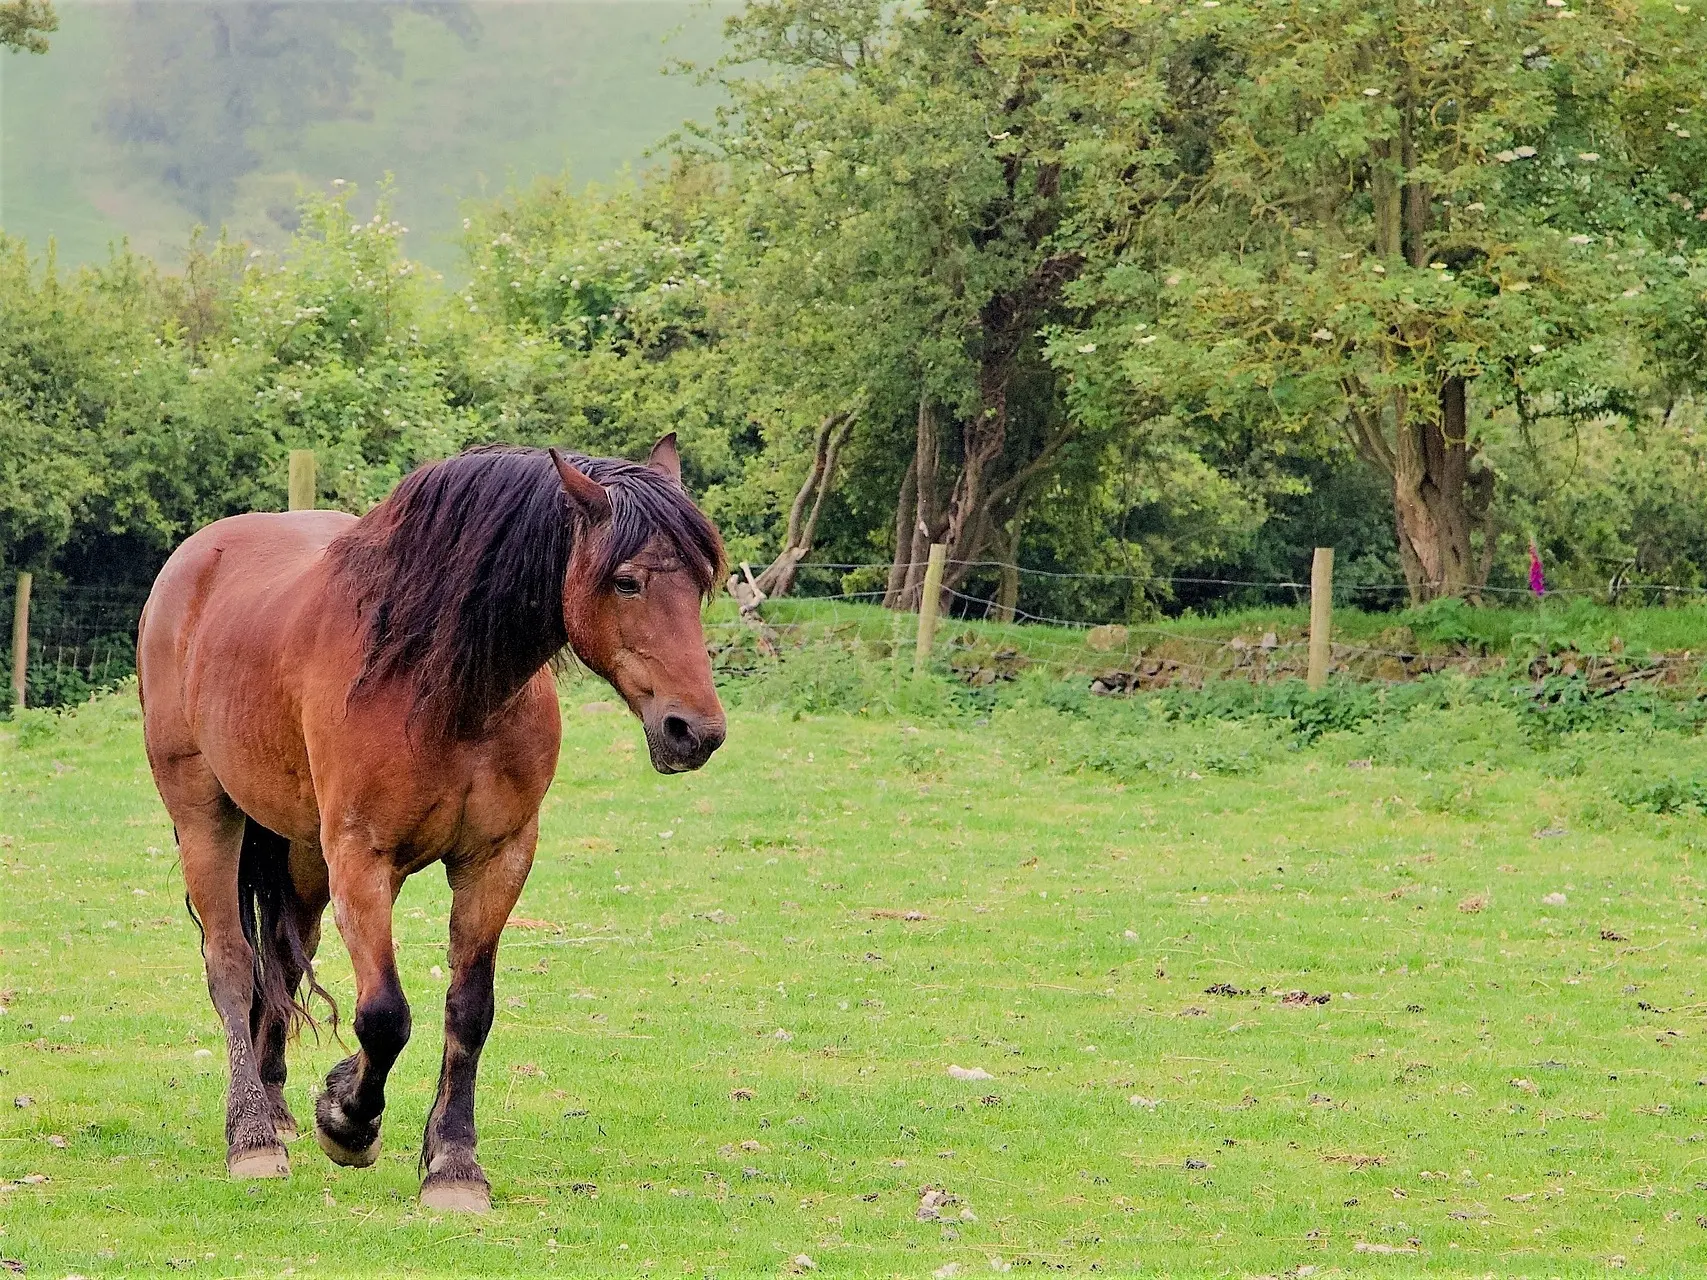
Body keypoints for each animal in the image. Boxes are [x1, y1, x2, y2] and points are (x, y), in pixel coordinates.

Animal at [134, 440, 720, 1215]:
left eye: (702, 585)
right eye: (626, 582)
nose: (696, 732)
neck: (440, 685)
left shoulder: (497, 860)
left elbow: (469, 1012)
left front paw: (453, 1166)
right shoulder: (361, 860)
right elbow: (383, 1015)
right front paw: (347, 1120)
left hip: (300, 853)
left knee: (283, 963)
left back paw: (276, 1106)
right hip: (207, 816)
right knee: (230, 964)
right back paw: (252, 1136)